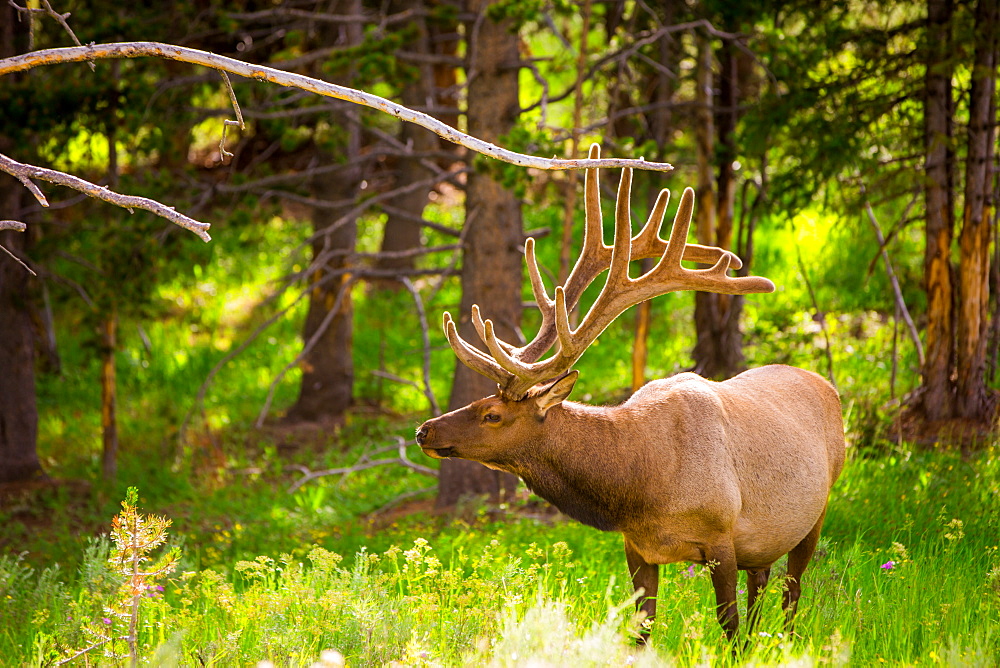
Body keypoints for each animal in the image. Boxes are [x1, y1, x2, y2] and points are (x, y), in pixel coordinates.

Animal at [418, 146, 848, 640]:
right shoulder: (637, 548)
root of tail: (827, 385)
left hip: (816, 513)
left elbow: (728, 627)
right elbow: (641, 630)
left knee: (792, 597)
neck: (638, 488)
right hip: (764, 541)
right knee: (763, 588)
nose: (424, 431)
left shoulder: (721, 537)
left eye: (492, 414)